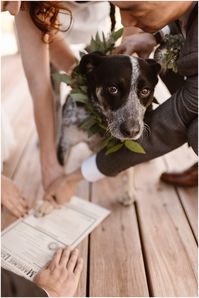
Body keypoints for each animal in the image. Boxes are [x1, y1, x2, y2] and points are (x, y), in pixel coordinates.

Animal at [56, 51, 160, 205]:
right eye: (113, 89)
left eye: (145, 91)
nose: (131, 131)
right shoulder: (65, 142)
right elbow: (60, 175)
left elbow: (128, 168)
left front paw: (128, 191)